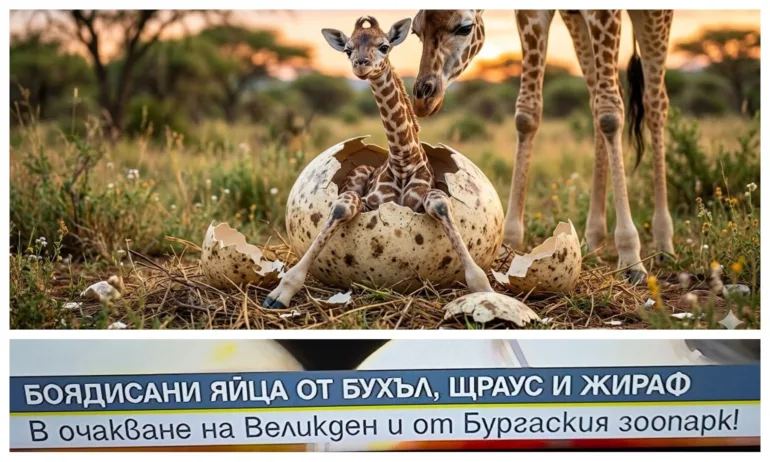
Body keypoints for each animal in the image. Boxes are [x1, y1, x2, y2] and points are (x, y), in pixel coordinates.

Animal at [263, 16, 493, 309]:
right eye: (348, 49)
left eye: (384, 46)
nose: (361, 64)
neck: (403, 159)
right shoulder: (369, 203)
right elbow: (341, 207)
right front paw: (281, 291)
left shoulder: (422, 202)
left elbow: (440, 203)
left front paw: (483, 286)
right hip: (357, 173)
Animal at [411, 10, 675, 283]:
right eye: (416, 31)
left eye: (464, 28)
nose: (423, 99)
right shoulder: (530, 14)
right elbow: (527, 114)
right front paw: (509, 241)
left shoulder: (605, 13)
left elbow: (610, 114)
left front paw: (631, 256)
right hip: (575, 19)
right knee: (597, 98)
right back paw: (592, 238)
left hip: (654, 16)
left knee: (654, 102)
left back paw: (664, 243)